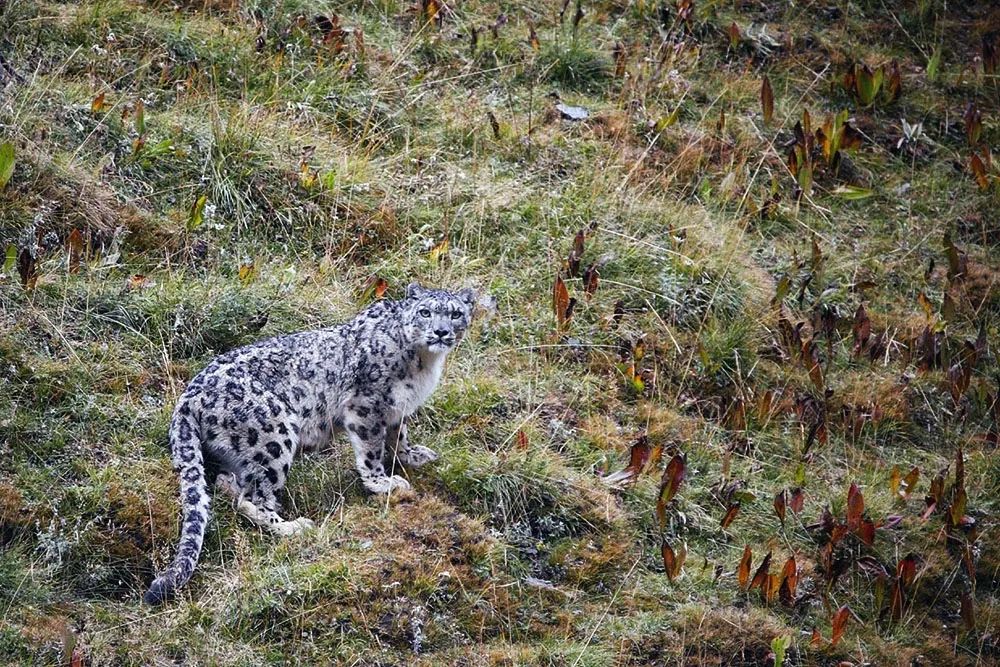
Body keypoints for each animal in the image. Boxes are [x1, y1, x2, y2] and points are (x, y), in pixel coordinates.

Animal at [142, 282, 480, 604]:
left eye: (455, 313)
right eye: (425, 312)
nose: (441, 331)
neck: (424, 363)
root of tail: (188, 397)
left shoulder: (398, 409)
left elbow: (399, 436)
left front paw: (414, 455)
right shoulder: (365, 405)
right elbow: (372, 448)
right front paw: (382, 483)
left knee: (231, 484)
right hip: (274, 434)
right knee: (253, 498)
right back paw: (292, 527)